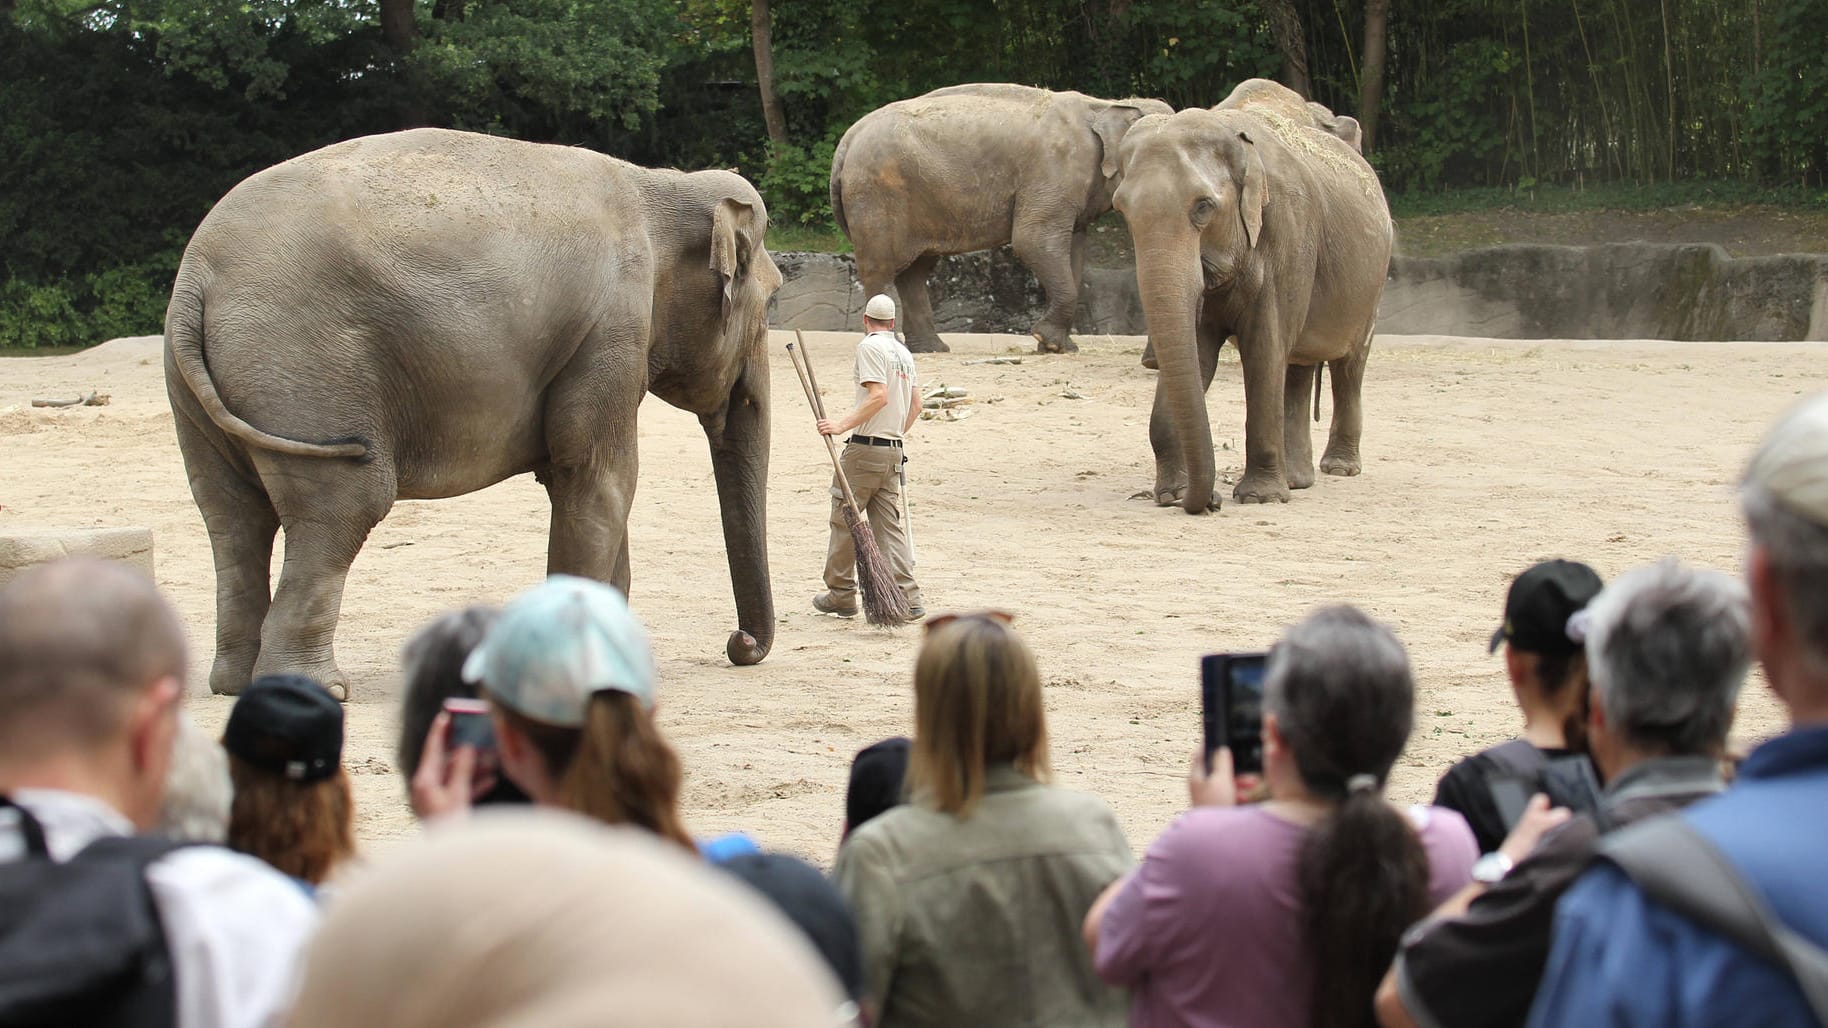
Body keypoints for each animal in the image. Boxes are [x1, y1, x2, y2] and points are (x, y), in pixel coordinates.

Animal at [162, 124, 778, 691]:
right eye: (771, 300)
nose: (740, 643)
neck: (661, 183)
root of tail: (196, 274)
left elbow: (584, 482)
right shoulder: (613, 327)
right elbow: (602, 478)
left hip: (203, 392)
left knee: (231, 516)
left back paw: (233, 683)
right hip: (306, 374)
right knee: (341, 506)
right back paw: (315, 686)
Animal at [833, 81, 1169, 351]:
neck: (1104, 104)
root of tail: (847, 139)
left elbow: (1073, 253)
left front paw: (1059, 347)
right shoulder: (1052, 172)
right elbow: (1033, 240)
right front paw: (1047, 341)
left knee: (915, 271)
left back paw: (932, 349)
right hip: (876, 196)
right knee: (881, 267)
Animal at [1111, 100, 1381, 508]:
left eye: (1204, 207)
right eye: (1121, 209)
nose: (1211, 501)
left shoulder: (1289, 235)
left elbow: (1264, 347)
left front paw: (1258, 498)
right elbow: (1197, 350)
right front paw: (1173, 493)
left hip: (1371, 290)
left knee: (1348, 365)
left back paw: (1339, 468)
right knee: (1298, 365)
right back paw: (1298, 481)